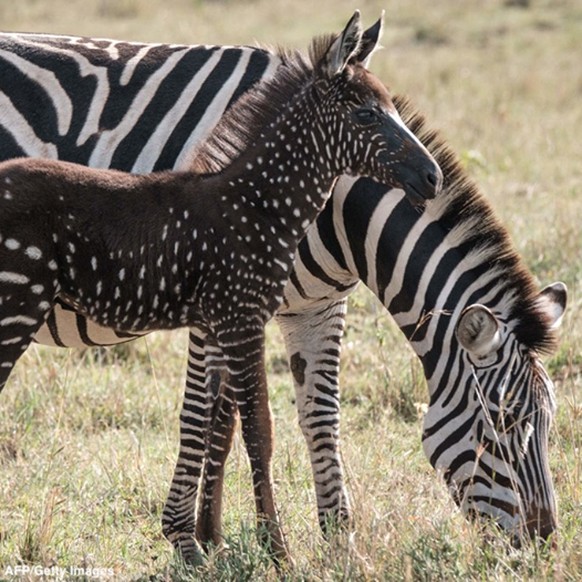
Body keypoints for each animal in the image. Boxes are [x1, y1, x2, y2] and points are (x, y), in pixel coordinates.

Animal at [0, 26, 568, 560]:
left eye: (548, 424)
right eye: (504, 423)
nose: (543, 541)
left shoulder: (316, 305)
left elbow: (311, 418)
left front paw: (334, 541)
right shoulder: (222, 311)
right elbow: (209, 420)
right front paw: (193, 538)